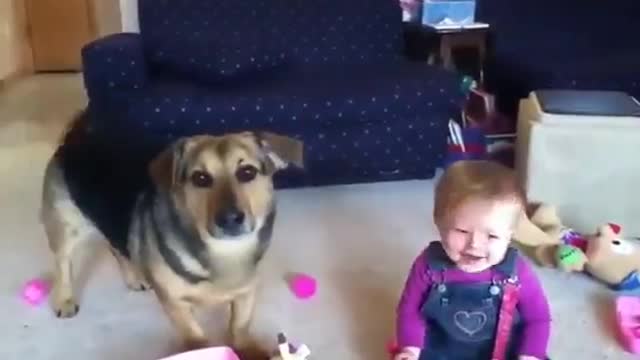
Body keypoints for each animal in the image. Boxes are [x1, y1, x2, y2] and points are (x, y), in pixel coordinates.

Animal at [40, 113, 304, 358]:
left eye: (247, 172)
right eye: (200, 178)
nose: (229, 218)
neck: (223, 253)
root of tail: (74, 140)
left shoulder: (246, 293)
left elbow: (239, 326)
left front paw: (249, 349)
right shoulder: (175, 303)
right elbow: (195, 336)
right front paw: (203, 351)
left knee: (115, 246)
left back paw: (134, 276)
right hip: (66, 226)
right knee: (63, 263)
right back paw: (64, 299)